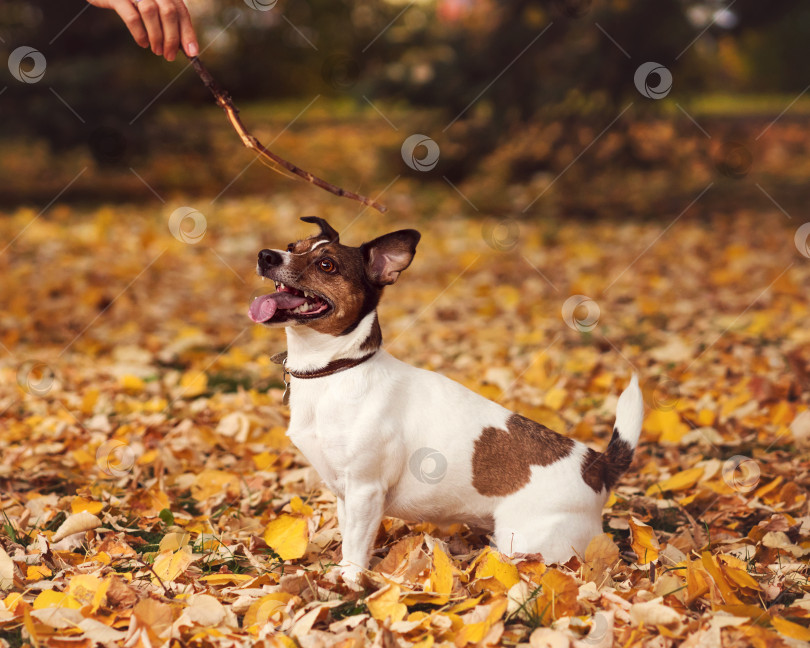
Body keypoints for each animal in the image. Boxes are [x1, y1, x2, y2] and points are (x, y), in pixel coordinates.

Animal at [249, 219, 640, 584]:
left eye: (326, 265)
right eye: (292, 246)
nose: (266, 256)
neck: (337, 369)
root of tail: (598, 465)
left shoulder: (365, 491)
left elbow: (356, 548)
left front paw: (350, 582)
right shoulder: (346, 495)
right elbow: (348, 539)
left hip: (528, 543)